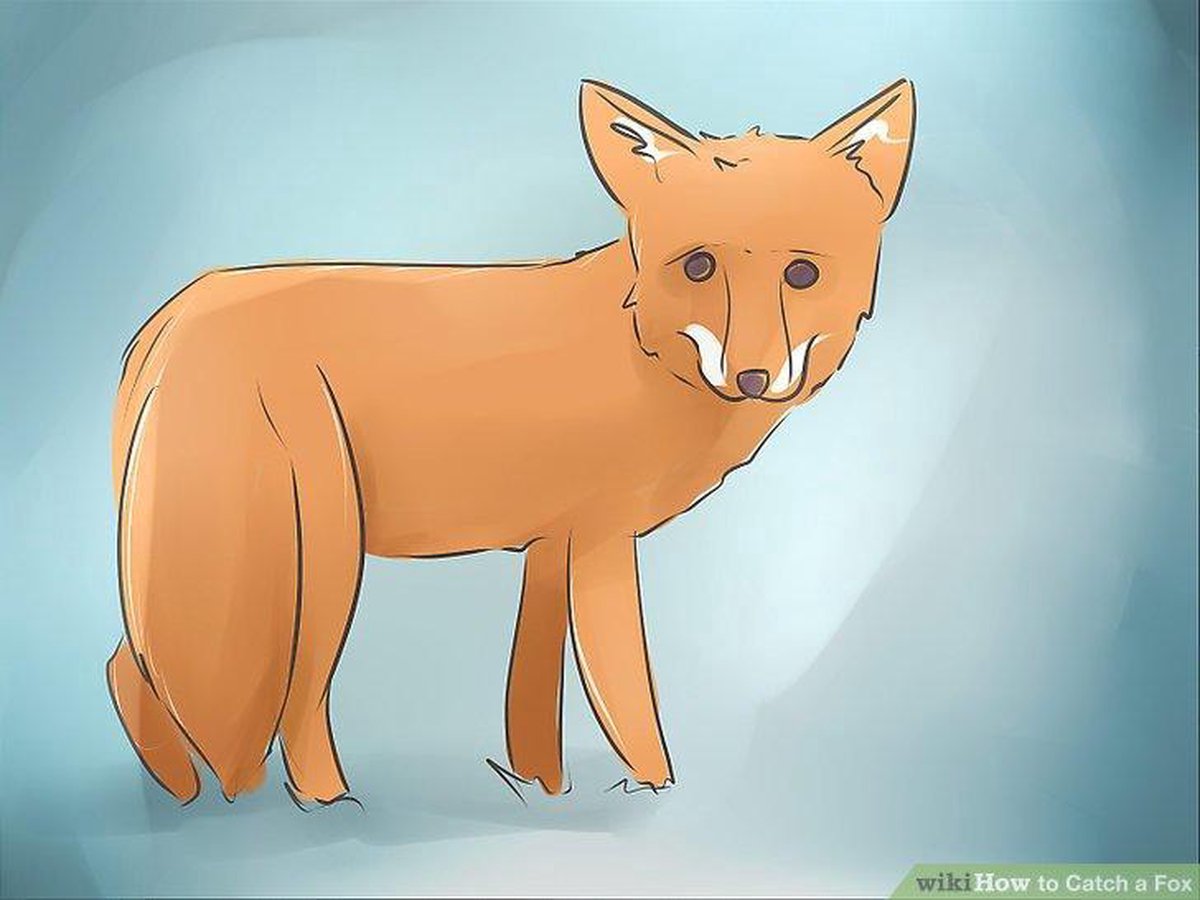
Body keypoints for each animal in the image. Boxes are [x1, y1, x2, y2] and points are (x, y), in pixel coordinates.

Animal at [107, 78, 915, 805]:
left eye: (802, 273)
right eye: (698, 265)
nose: (751, 376)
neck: (640, 348)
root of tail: (169, 318)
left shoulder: (553, 544)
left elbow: (531, 695)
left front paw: (542, 788)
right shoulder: (602, 543)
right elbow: (627, 693)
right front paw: (653, 790)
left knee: (129, 665)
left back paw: (187, 792)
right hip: (324, 552)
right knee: (288, 697)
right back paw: (324, 802)